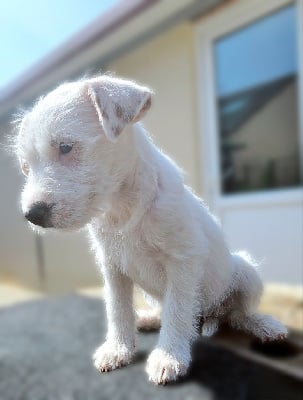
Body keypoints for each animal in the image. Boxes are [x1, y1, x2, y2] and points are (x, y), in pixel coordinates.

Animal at [16, 75, 288, 384]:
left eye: (65, 147)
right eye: (26, 167)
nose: (32, 215)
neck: (123, 208)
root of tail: (210, 313)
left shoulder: (184, 261)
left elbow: (178, 311)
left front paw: (169, 357)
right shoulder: (113, 267)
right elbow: (118, 309)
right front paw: (118, 348)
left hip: (245, 271)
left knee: (238, 314)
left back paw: (264, 324)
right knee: (171, 309)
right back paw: (147, 318)